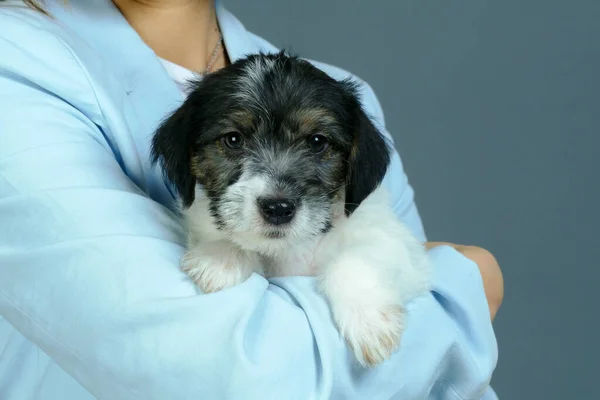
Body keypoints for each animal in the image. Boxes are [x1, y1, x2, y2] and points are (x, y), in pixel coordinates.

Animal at [151, 51, 432, 368]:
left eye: (318, 141)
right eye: (233, 139)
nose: (278, 208)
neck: (288, 249)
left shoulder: (400, 247)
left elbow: (356, 259)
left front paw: (370, 321)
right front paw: (221, 257)